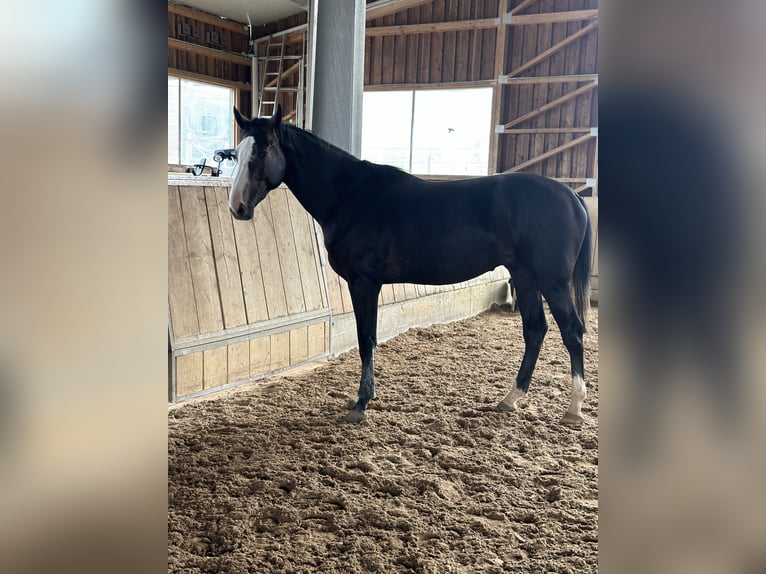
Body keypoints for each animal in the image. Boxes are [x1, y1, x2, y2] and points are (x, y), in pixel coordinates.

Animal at [228, 104, 592, 428]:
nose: (237, 207)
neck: (350, 196)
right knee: (535, 330)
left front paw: (361, 404)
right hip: (525, 275)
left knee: (572, 331)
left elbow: (366, 339)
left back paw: (573, 409)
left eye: (264, 149)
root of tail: (572, 196)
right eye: (236, 152)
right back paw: (511, 398)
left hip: (552, 281)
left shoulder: (364, 282)